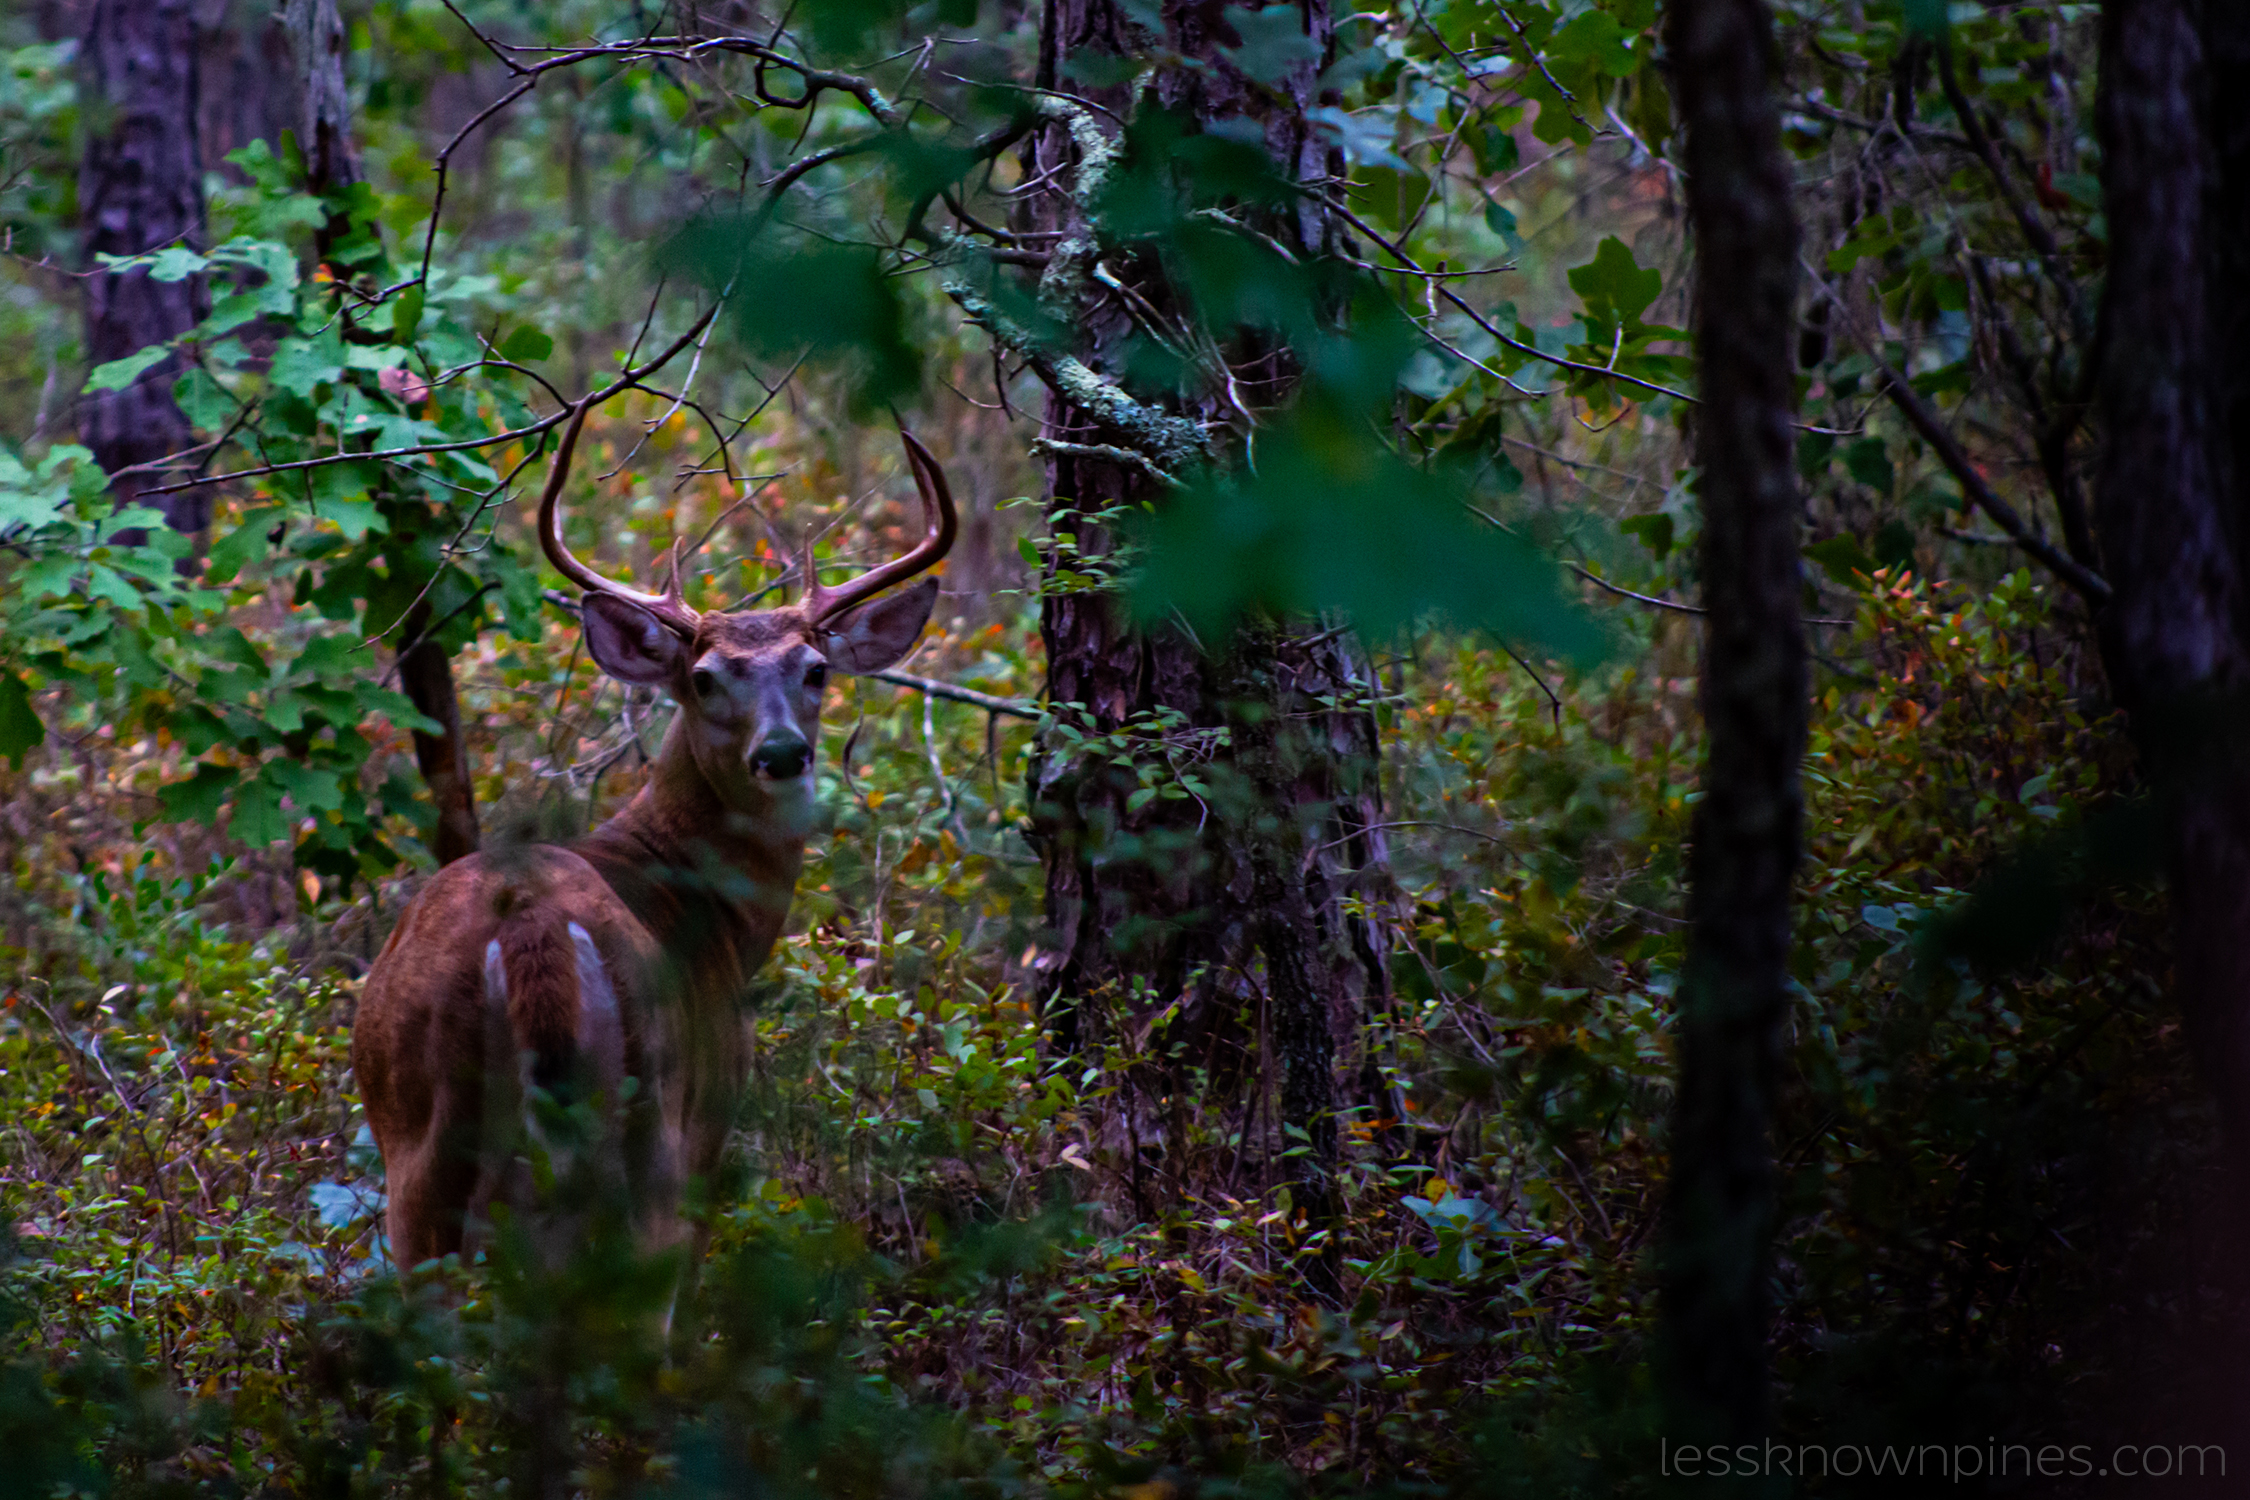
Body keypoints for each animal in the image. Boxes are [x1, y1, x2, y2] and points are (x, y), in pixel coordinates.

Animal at [351, 395, 958, 1277]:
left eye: (815, 670)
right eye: (703, 679)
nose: (782, 752)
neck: (718, 915)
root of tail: (530, 926)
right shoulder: (713, 1116)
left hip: (417, 1145)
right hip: (648, 1133)